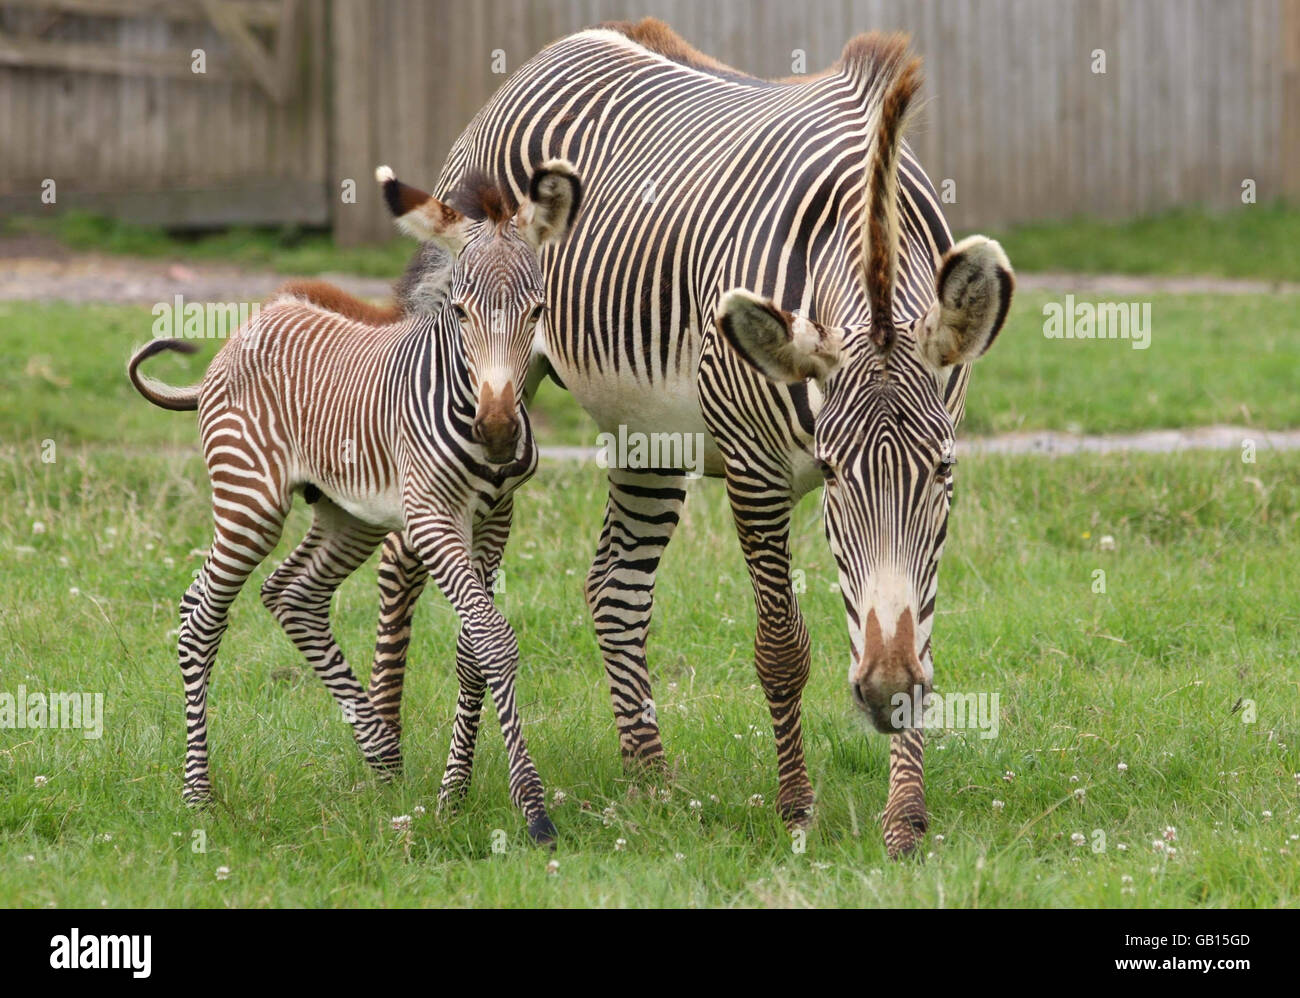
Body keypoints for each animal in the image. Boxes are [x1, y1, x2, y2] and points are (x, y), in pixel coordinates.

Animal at [126, 161, 583, 843]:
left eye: (538, 311)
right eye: (461, 311)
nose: (501, 430)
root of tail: (245, 330)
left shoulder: (496, 518)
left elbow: (473, 648)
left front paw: (452, 796)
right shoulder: (431, 516)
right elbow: (493, 638)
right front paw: (533, 811)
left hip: (350, 514)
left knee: (291, 594)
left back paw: (383, 755)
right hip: (249, 500)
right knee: (200, 615)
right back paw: (199, 795)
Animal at [368, 20, 1014, 858]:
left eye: (939, 471)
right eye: (834, 474)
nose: (884, 694)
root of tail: (566, 43)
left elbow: (916, 621)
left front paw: (904, 814)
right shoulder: (754, 468)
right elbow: (781, 648)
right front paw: (796, 808)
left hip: (650, 435)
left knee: (614, 588)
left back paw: (651, 780)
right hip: (482, 391)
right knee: (399, 556)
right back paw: (386, 758)